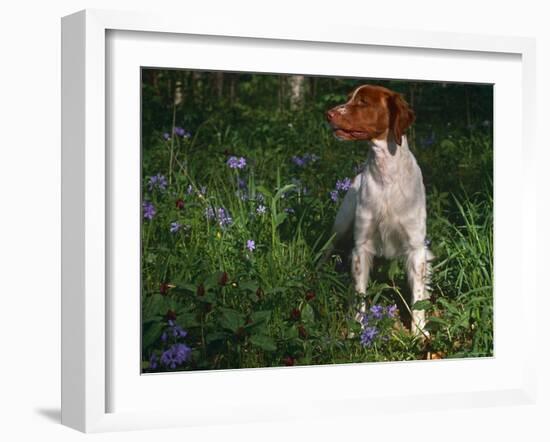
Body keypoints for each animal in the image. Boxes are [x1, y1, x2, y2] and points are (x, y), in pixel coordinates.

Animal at [326, 83, 434, 334]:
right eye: (349, 98)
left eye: (363, 102)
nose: (328, 114)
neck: (387, 177)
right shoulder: (362, 245)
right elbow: (360, 294)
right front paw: (358, 329)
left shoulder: (416, 248)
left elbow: (417, 296)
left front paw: (419, 332)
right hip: (341, 225)